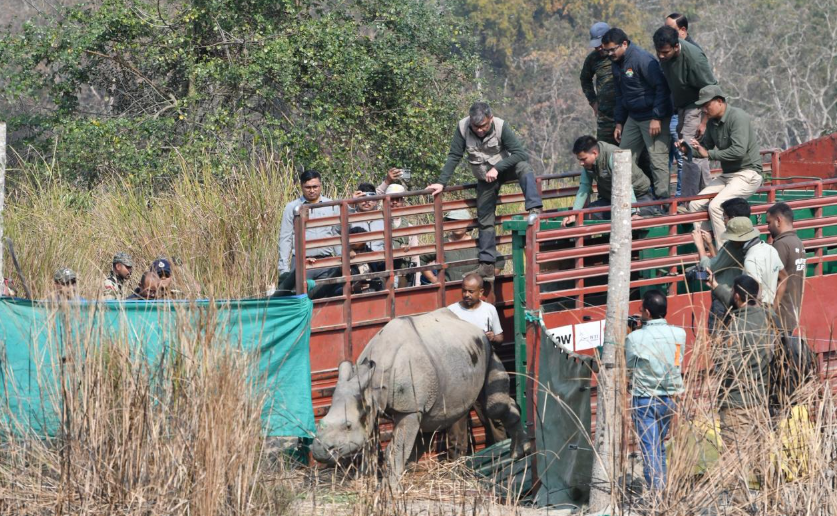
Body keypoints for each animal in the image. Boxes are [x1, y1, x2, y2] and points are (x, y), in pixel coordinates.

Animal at [311, 308, 527, 482]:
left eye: (347, 426)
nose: (319, 451)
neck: (373, 382)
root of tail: (474, 328)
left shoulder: (409, 408)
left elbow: (395, 448)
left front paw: (390, 488)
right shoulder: (370, 403)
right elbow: (369, 447)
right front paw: (361, 481)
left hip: (488, 349)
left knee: (493, 407)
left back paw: (518, 453)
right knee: (433, 420)